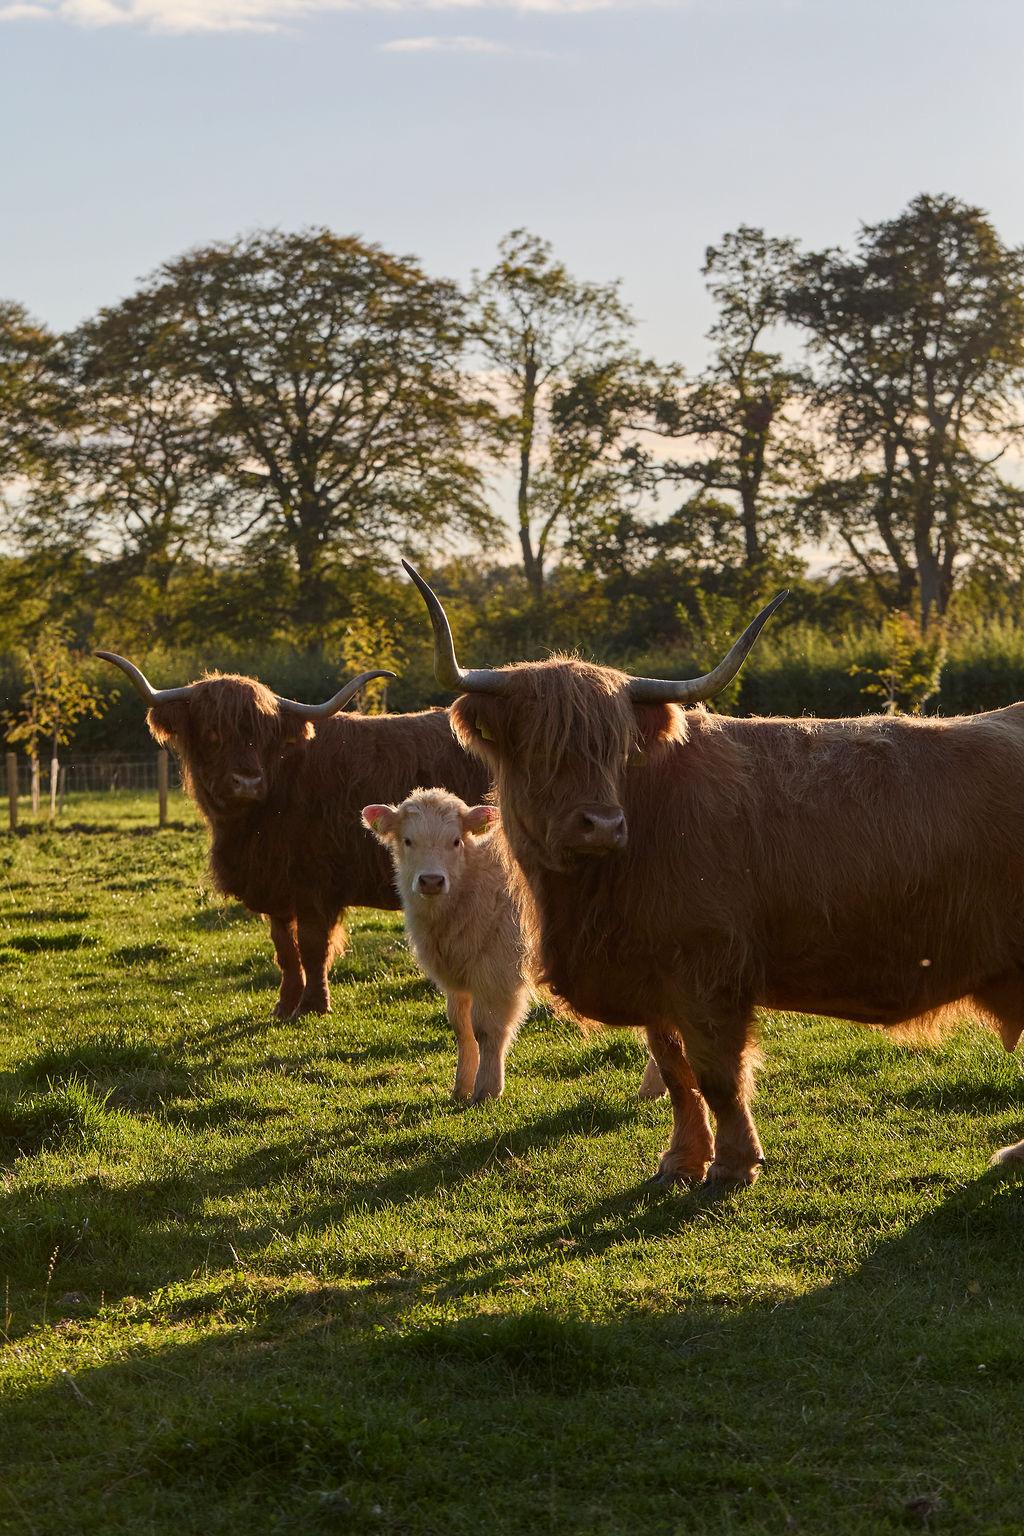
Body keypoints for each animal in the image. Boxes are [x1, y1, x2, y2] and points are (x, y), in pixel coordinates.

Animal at [96, 651, 490, 1019]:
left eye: (264, 736)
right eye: (212, 733)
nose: (247, 782)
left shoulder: (315, 886)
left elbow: (313, 948)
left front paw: (313, 1005)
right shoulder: (276, 888)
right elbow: (285, 949)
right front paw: (285, 1005)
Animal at [362, 788, 530, 1102]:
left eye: (455, 841)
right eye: (408, 840)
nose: (431, 881)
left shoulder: (498, 972)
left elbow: (487, 1029)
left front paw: (487, 1089)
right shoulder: (458, 980)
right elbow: (462, 1028)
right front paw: (462, 1087)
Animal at [403, 559, 1024, 1186]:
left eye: (615, 747)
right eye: (539, 747)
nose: (602, 825)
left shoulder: (709, 971)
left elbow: (718, 1074)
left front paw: (732, 1164)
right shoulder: (652, 978)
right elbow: (676, 1073)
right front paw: (681, 1160)